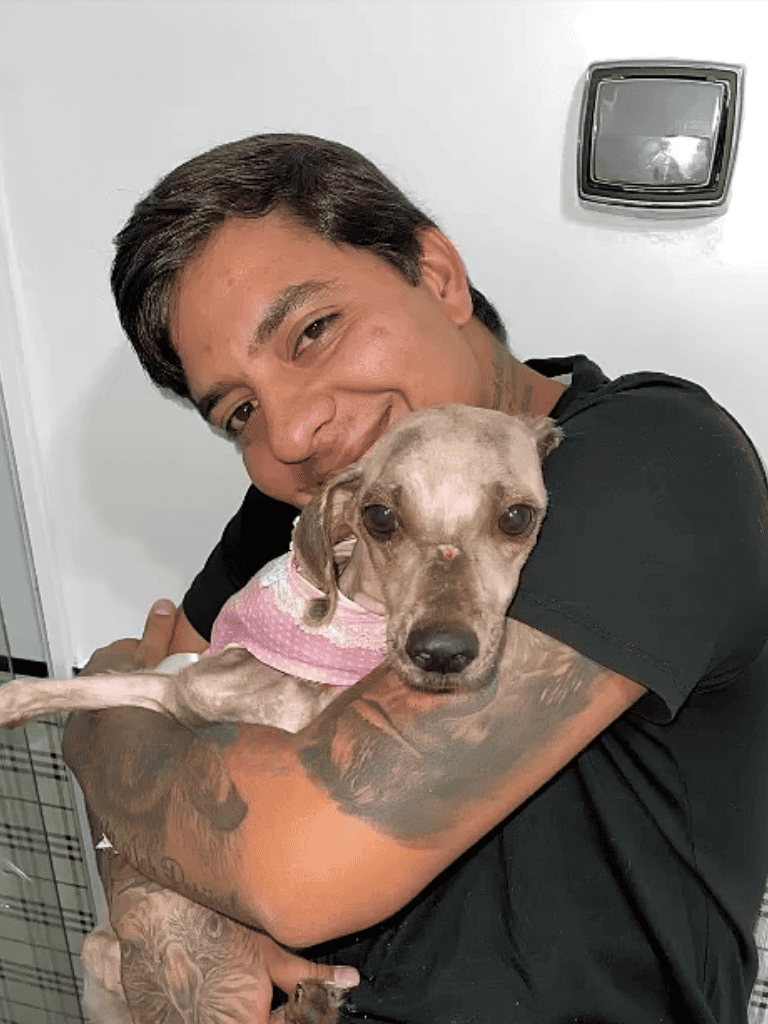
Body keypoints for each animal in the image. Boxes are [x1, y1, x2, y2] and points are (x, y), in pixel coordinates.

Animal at [0, 405, 562, 1024]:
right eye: (380, 517)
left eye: (516, 517)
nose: (441, 653)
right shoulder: (199, 680)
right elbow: (102, 686)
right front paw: (16, 701)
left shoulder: (202, 684)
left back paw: (314, 1000)